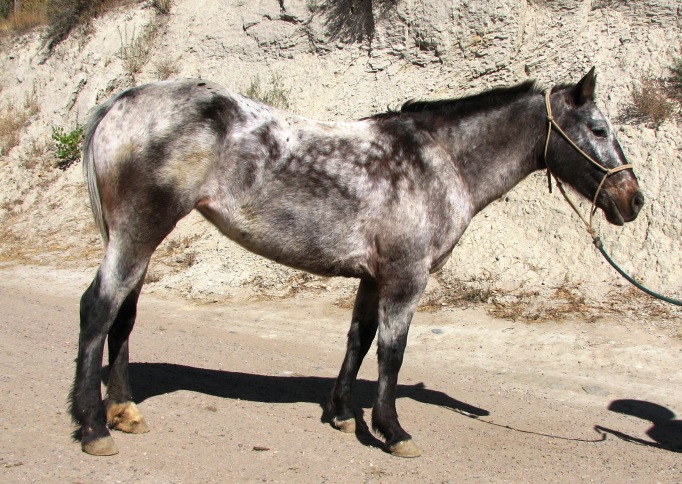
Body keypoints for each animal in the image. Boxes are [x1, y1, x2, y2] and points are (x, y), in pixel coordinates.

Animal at [71, 68, 640, 458]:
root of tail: (122, 101)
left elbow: (359, 341)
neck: (440, 159)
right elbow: (392, 352)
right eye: (597, 128)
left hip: (138, 238)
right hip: (140, 231)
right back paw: (94, 427)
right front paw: (392, 430)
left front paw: (344, 414)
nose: (633, 200)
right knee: (98, 308)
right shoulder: (406, 277)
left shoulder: (372, 277)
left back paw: (123, 410)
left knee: (123, 315)